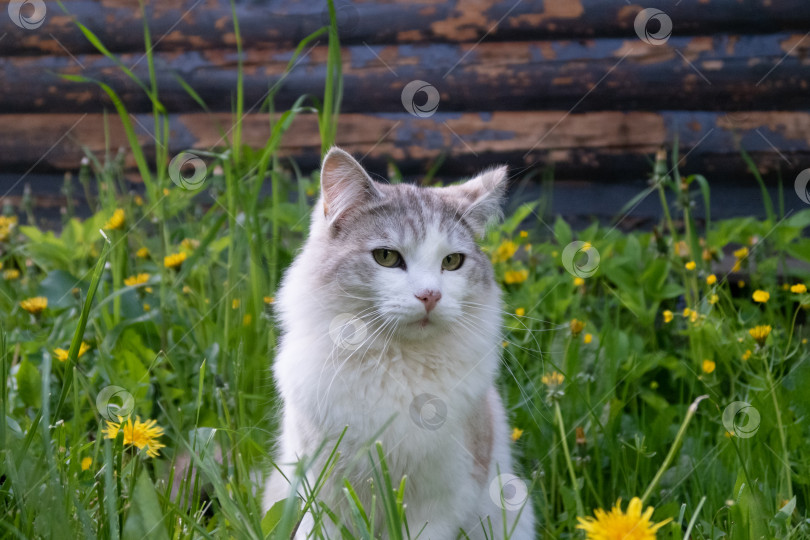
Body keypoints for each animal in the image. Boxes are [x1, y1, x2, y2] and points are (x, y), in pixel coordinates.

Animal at [262, 146, 532, 536]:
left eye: (452, 261)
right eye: (387, 257)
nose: (430, 296)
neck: (395, 361)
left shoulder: (441, 502)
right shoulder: (322, 494)